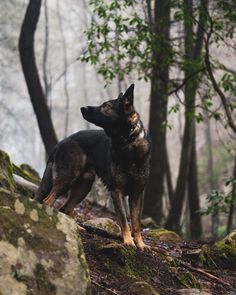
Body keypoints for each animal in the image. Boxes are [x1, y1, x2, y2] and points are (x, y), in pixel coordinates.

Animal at [34, 85, 151, 250]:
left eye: (106, 106)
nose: (83, 108)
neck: (128, 141)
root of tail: (62, 142)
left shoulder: (137, 194)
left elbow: (136, 222)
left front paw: (140, 244)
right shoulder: (117, 192)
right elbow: (123, 219)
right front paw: (128, 241)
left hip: (83, 187)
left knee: (64, 209)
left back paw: (75, 228)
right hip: (68, 179)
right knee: (48, 201)